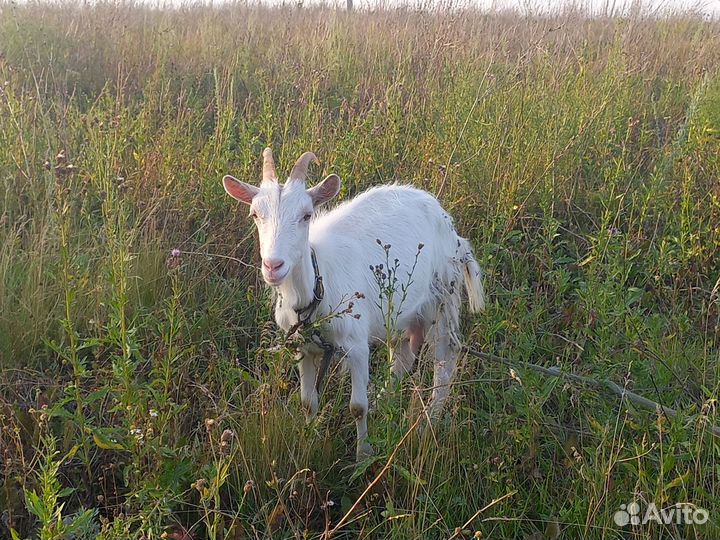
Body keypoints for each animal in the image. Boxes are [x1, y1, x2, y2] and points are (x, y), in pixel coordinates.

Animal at [222, 149, 484, 461]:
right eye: (255, 214)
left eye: (306, 215)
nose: (274, 266)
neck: (317, 288)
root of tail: (450, 226)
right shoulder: (303, 348)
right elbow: (308, 401)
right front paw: (310, 441)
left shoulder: (357, 346)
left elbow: (357, 407)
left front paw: (363, 455)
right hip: (398, 313)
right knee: (403, 357)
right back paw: (384, 402)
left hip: (442, 298)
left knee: (445, 361)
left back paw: (427, 423)